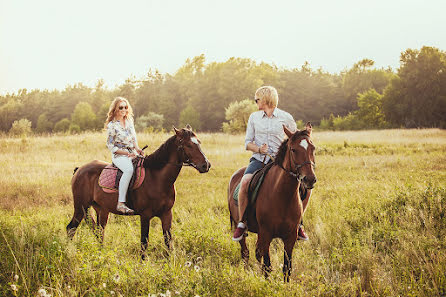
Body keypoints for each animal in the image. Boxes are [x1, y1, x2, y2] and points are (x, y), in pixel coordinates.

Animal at [66, 125, 211, 254]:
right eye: (188, 145)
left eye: (199, 143)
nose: (206, 165)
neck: (157, 179)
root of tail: (79, 170)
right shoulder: (145, 215)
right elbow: (144, 242)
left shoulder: (167, 214)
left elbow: (168, 242)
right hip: (81, 207)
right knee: (71, 228)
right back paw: (68, 252)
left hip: (101, 209)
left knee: (99, 231)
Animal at [228, 123, 316, 280]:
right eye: (293, 150)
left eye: (313, 148)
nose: (310, 179)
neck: (282, 196)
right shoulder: (266, 234)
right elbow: (267, 267)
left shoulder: (290, 237)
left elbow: (287, 268)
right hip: (245, 231)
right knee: (245, 253)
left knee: (256, 254)